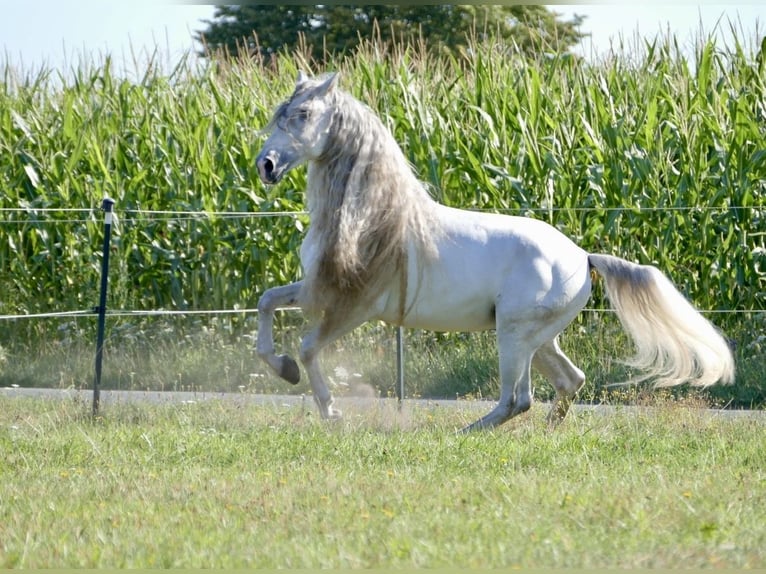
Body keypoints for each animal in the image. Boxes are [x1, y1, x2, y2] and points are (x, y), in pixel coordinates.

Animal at [254, 71, 735, 432]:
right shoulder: (317, 289)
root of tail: (582, 257)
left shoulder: (355, 306)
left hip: (514, 335)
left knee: (517, 398)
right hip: (537, 339)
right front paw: (283, 369)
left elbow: (308, 347)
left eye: (303, 114)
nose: (266, 165)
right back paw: (546, 434)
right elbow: (267, 301)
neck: (375, 221)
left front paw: (329, 410)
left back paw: (463, 434)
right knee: (568, 381)